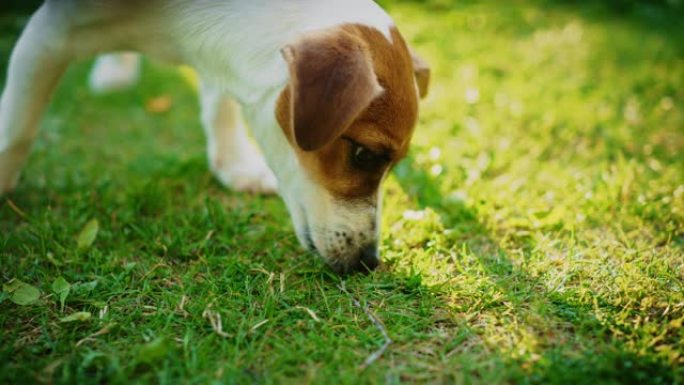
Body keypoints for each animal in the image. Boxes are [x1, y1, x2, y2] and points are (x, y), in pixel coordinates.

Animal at [0, 0, 428, 272]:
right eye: (365, 155)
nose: (369, 262)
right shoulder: (49, 36)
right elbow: (17, 129)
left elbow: (221, 103)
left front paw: (234, 165)